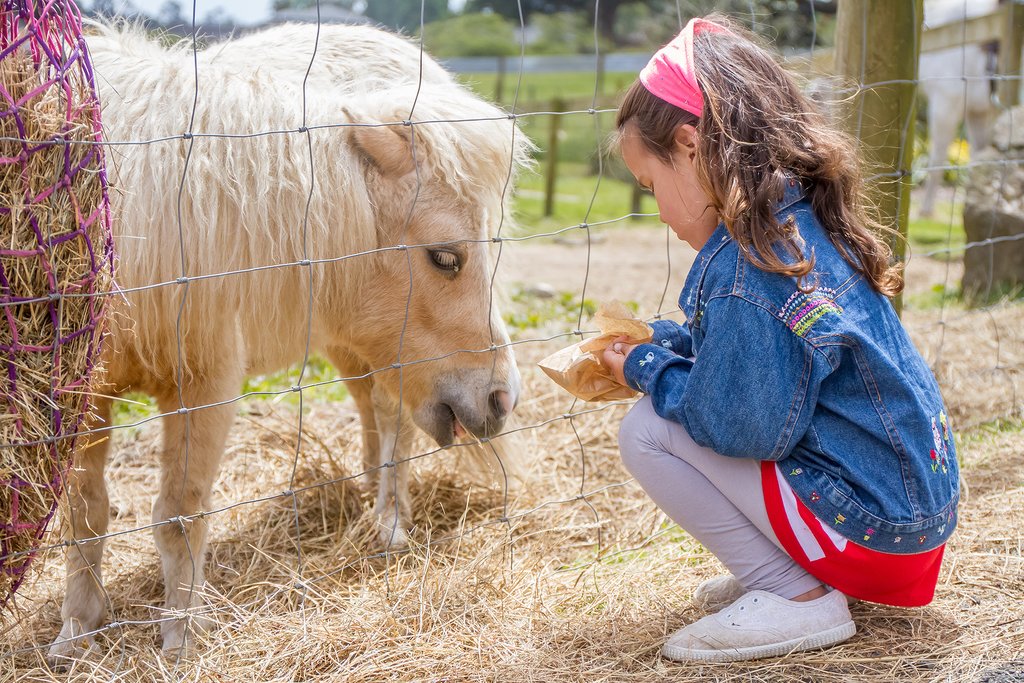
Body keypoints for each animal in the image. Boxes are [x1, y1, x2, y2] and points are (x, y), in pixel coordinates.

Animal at [49, 21, 530, 661]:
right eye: (446, 258)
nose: (502, 399)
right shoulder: (85, 397)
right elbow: (86, 513)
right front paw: (77, 630)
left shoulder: (206, 386)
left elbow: (179, 512)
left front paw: (182, 636)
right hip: (352, 342)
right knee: (373, 413)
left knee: (392, 421)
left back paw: (389, 525)